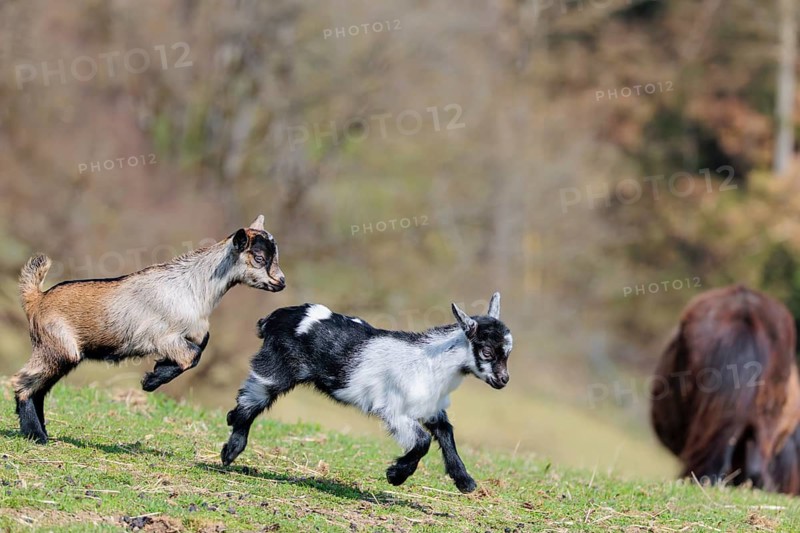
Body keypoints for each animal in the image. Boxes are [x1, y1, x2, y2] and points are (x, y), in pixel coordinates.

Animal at [12, 215, 285, 444]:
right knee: (22, 383)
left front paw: (158, 370)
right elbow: (192, 356)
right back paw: (37, 436)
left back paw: (41, 432)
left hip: (62, 355)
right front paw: (151, 381)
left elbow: (202, 343)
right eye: (260, 258)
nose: (281, 282)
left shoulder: (194, 331)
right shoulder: (162, 336)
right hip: (58, 348)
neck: (194, 286)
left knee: (39, 388)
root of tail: (37, 298)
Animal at [221, 292, 512, 493]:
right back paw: (230, 449)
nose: (503, 380)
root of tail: (273, 318)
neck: (430, 361)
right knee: (251, 401)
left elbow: (446, 434)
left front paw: (465, 481)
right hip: (275, 369)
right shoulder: (393, 409)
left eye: (508, 352)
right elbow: (421, 441)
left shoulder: (431, 408)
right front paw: (395, 475)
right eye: (487, 351)